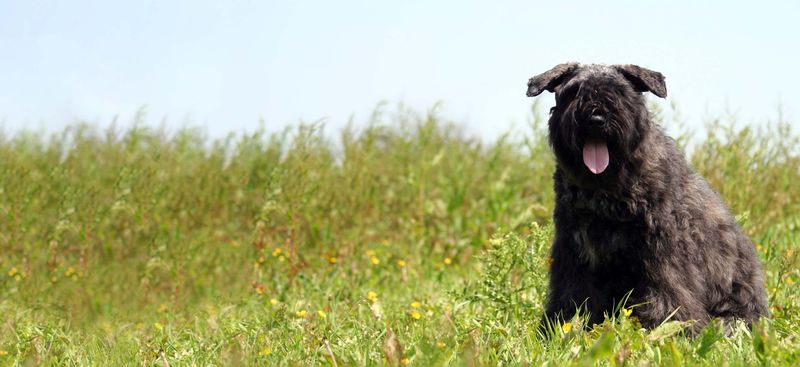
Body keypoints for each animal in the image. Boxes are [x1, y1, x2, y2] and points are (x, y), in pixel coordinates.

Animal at [524, 63, 768, 334]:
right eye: (573, 91)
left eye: (619, 91)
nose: (596, 119)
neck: (609, 187)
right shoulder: (576, 252)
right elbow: (574, 294)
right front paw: (560, 328)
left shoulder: (664, 253)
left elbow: (668, 292)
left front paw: (675, 330)